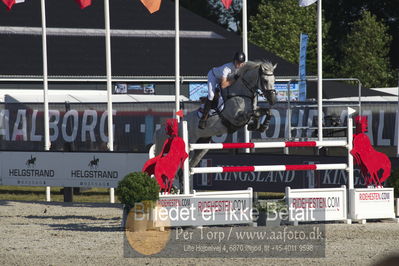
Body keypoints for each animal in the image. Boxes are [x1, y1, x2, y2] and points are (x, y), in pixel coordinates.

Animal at [154, 61, 278, 191]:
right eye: (264, 80)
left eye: (274, 80)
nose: (273, 100)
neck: (241, 93)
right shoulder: (236, 118)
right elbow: (252, 114)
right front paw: (257, 125)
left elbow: (265, 111)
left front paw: (261, 126)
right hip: (187, 147)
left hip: (202, 148)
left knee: (184, 172)